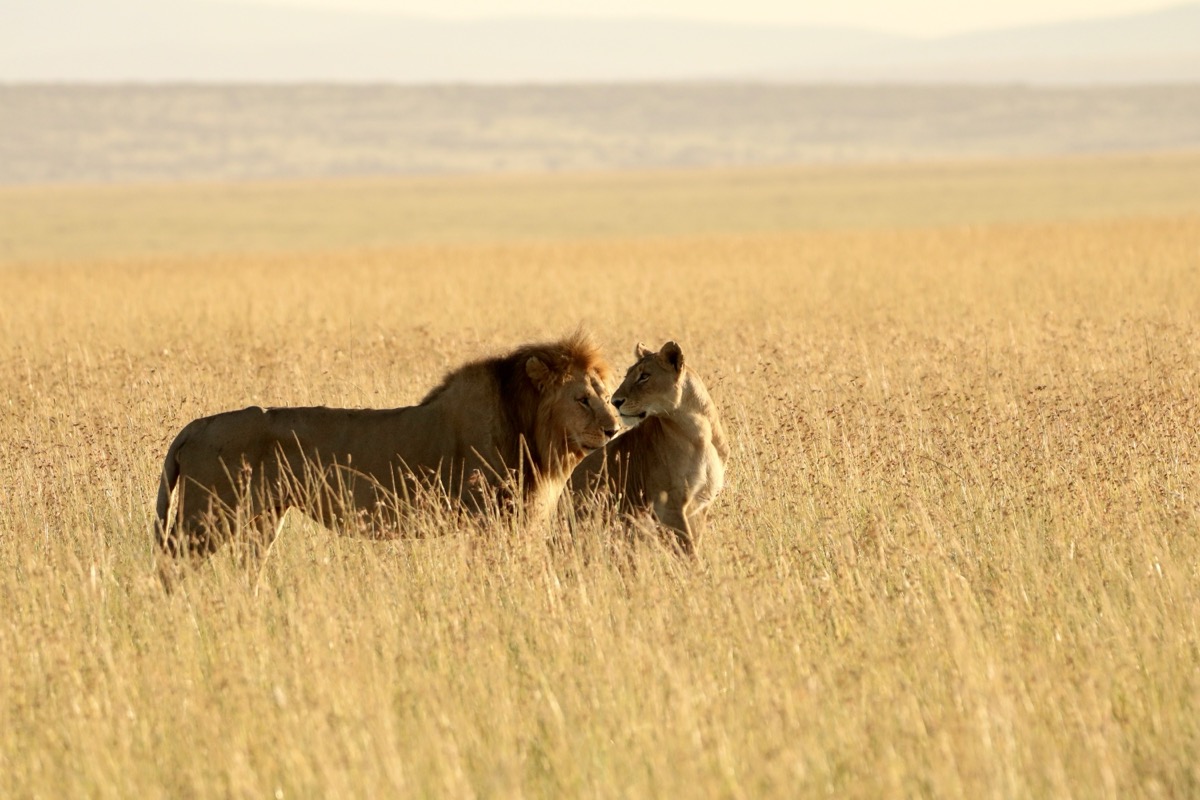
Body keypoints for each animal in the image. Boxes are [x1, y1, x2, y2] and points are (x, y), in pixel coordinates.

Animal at [155, 332, 619, 560]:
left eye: (607, 394)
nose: (614, 429)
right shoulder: (487, 518)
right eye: (582, 398)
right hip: (205, 517)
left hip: (261, 519)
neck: (528, 429)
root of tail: (194, 427)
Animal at [568, 341, 727, 556]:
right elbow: (688, 551)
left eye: (644, 376)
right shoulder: (667, 506)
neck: (698, 431)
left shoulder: (700, 506)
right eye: (628, 375)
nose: (615, 401)